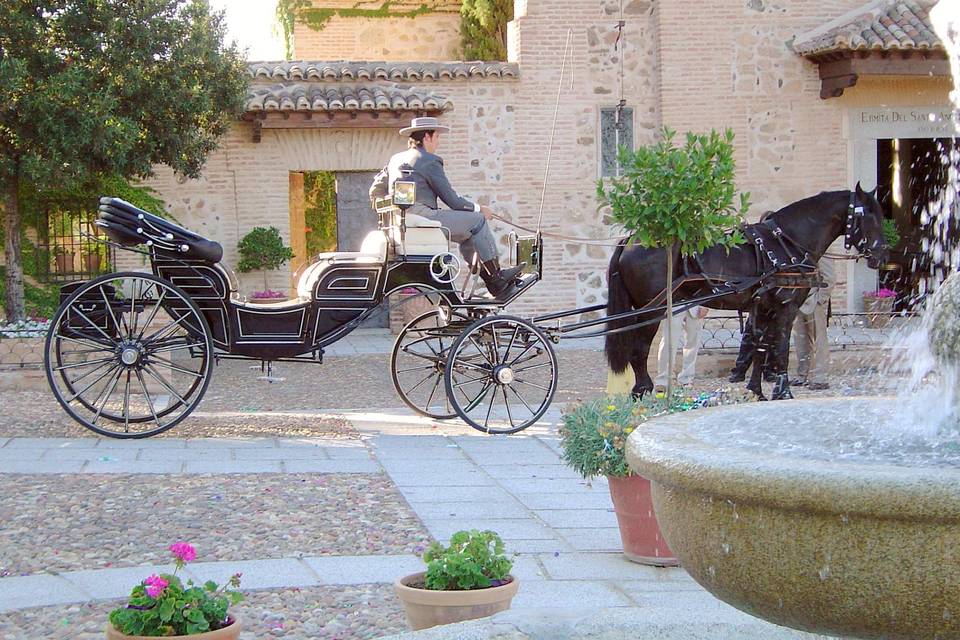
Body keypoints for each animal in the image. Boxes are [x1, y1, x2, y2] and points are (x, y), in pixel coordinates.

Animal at [604, 182, 888, 400]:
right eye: (867, 216)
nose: (881, 255)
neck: (785, 244)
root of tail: (631, 240)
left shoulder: (764, 308)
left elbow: (761, 347)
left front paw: (757, 391)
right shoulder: (787, 308)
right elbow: (781, 348)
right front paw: (783, 392)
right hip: (652, 309)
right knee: (639, 348)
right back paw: (643, 390)